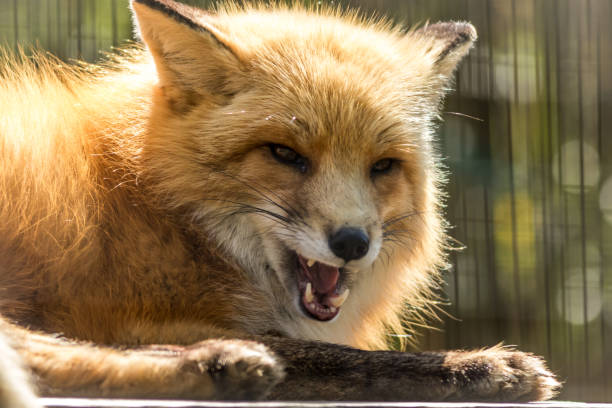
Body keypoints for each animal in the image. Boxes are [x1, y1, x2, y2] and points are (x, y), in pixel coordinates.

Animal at [1, 0, 560, 402]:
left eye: (381, 166)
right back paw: (215, 365)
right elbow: (342, 359)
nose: (353, 243)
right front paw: (473, 367)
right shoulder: (126, 312)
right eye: (285, 154)